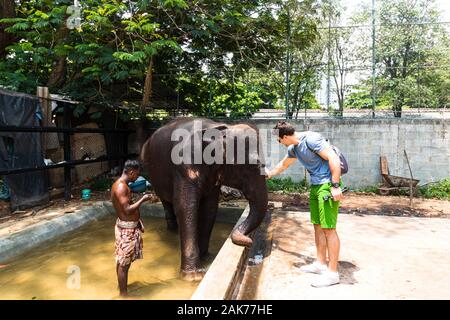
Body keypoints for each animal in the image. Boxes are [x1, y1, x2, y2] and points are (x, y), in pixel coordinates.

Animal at [141, 117, 268, 280]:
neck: (219, 127)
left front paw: (206, 258)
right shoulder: (183, 167)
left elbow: (210, 208)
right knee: (166, 203)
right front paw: (193, 276)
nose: (250, 242)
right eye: (252, 165)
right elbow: (185, 207)